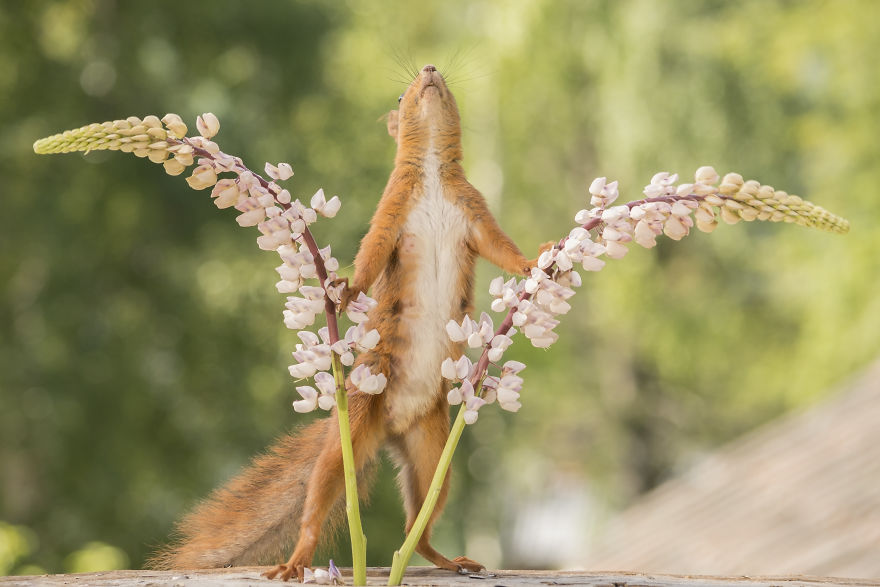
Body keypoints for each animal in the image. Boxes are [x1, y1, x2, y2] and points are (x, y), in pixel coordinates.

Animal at [152, 64, 543, 581]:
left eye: (445, 83)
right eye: (400, 96)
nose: (429, 70)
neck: (433, 171)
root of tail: (391, 427)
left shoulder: (474, 212)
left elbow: (503, 249)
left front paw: (539, 261)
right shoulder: (391, 213)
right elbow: (372, 255)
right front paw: (348, 289)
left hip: (433, 452)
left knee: (419, 525)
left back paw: (446, 558)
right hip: (347, 439)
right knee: (319, 500)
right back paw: (296, 560)